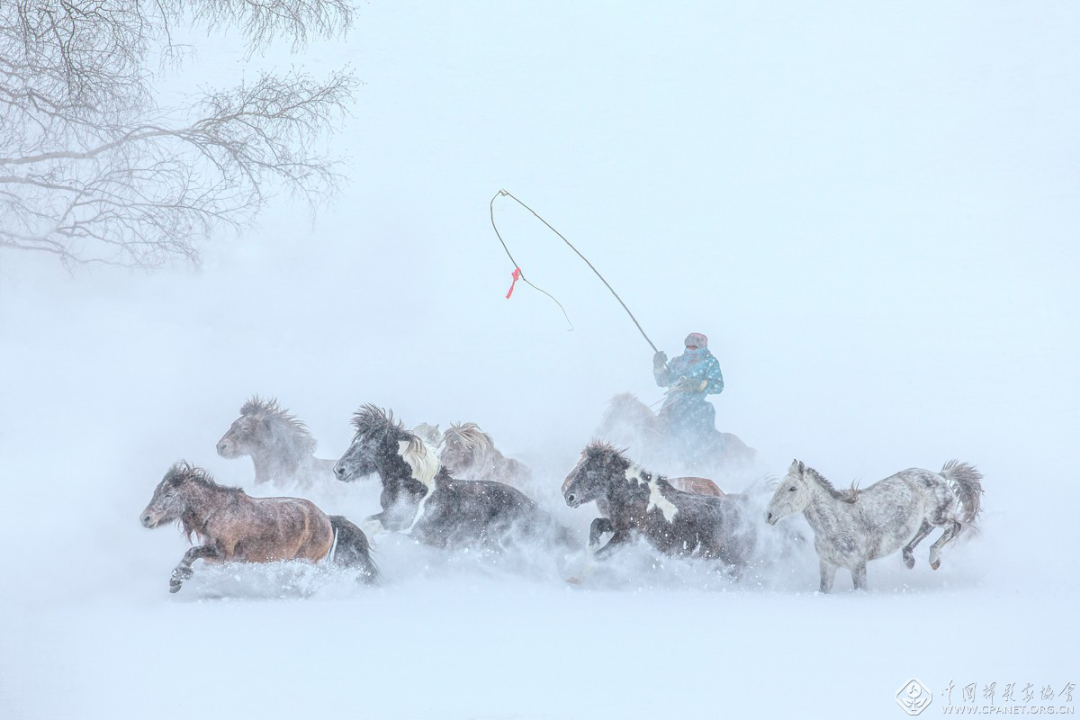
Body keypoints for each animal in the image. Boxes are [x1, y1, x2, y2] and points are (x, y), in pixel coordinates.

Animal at [139, 464, 378, 595]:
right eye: (155, 491)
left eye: (168, 494)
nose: (145, 518)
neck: (217, 511)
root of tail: (327, 518)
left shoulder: (224, 555)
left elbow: (190, 553)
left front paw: (176, 581)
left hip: (306, 560)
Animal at [334, 405, 574, 552]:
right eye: (356, 441)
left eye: (369, 444)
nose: (339, 470)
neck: (416, 486)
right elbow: (368, 522)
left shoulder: (406, 525)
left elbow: (373, 527)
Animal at [561, 442, 756, 569]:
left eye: (590, 471)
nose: (568, 495)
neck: (637, 496)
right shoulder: (618, 525)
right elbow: (596, 524)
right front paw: (591, 544)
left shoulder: (627, 536)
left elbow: (600, 556)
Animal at [764, 459, 984, 595]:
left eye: (792, 488)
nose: (768, 516)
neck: (836, 523)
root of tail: (940, 475)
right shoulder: (827, 565)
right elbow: (824, 590)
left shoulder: (858, 566)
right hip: (927, 519)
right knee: (923, 532)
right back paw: (909, 559)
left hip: (938, 516)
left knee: (955, 527)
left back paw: (932, 558)